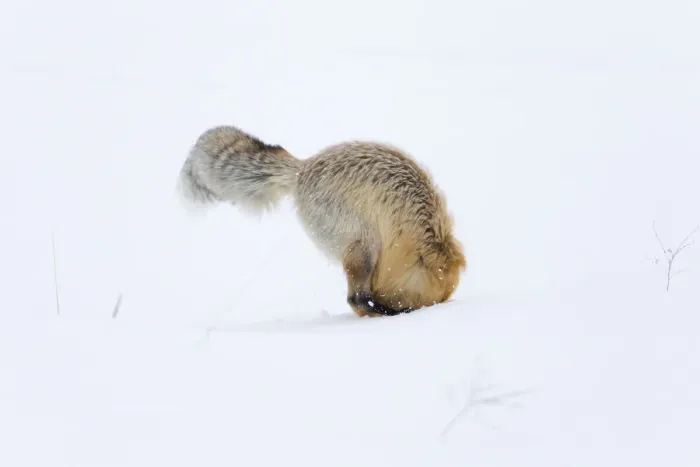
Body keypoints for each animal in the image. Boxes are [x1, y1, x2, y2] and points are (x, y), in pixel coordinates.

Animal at [177, 125, 466, 317]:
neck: (421, 231)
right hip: (364, 244)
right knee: (356, 300)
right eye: (431, 300)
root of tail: (303, 168)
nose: (428, 310)